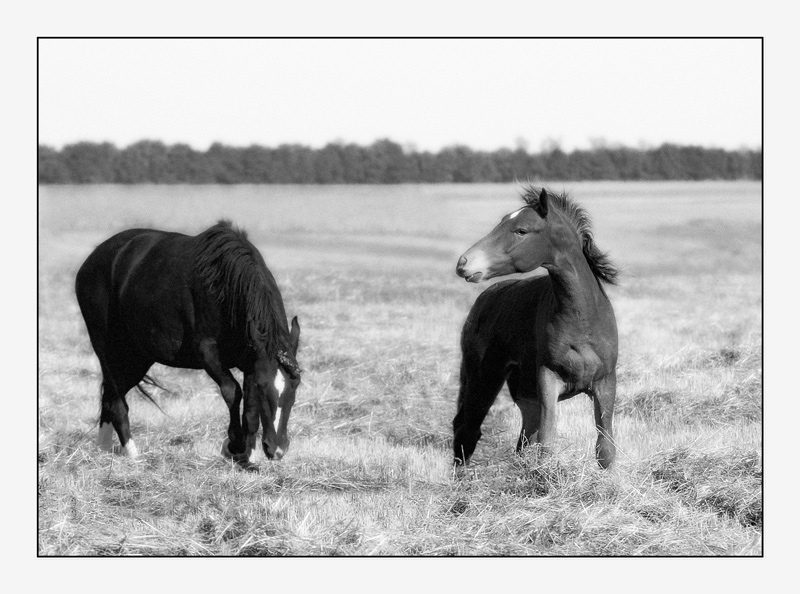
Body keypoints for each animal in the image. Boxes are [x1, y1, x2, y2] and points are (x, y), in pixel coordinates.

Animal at [76, 220, 302, 460]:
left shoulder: (252, 360)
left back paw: (103, 449)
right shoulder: (208, 353)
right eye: (263, 386)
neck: (226, 286)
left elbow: (250, 409)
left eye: (296, 384)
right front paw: (234, 444)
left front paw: (244, 453)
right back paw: (134, 456)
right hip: (107, 349)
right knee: (117, 401)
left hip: (137, 356)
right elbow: (232, 390)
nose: (277, 448)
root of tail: (92, 260)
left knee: (109, 397)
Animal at [456, 185, 620, 468]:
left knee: (521, 438)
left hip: (524, 395)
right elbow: (548, 442)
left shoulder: (605, 382)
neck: (583, 320)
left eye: (521, 230)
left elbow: (605, 449)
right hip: (483, 379)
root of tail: (484, 299)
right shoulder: (549, 378)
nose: (464, 263)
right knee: (467, 431)